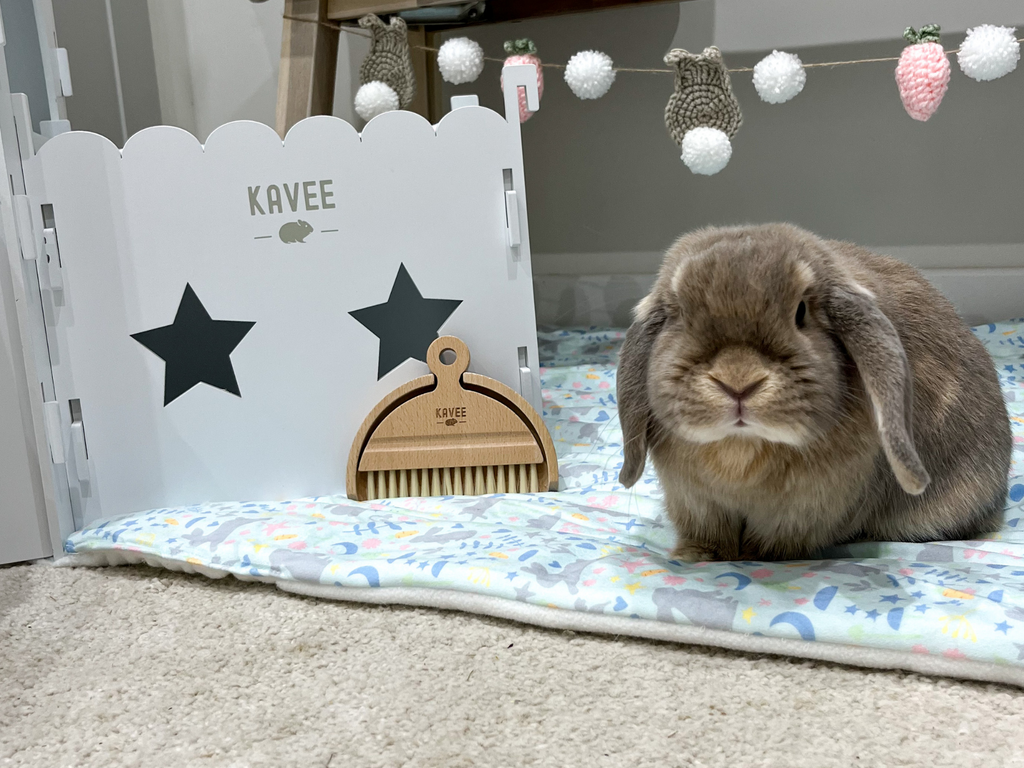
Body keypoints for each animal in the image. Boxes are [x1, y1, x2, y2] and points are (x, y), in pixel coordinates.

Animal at [614, 221, 1007, 561]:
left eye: (800, 311)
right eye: (680, 314)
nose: (738, 381)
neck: (741, 447)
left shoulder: (803, 513)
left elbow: (771, 545)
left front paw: (755, 559)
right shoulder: (698, 504)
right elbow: (710, 536)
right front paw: (696, 557)